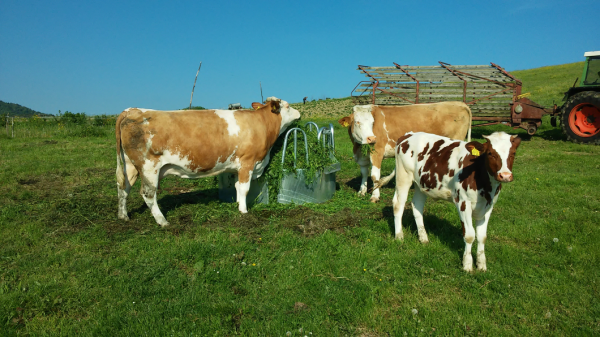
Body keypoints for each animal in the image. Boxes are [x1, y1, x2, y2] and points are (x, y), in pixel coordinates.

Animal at [115, 96, 300, 226]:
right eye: (287, 106)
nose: (299, 113)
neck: (260, 124)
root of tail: (132, 110)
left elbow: (237, 187)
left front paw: (237, 204)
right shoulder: (247, 162)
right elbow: (244, 188)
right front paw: (244, 211)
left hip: (130, 165)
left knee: (123, 188)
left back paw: (123, 216)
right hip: (148, 167)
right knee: (148, 193)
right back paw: (162, 221)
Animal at [340, 101, 472, 202]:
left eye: (372, 123)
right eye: (357, 122)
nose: (372, 138)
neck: (358, 147)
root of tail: (459, 103)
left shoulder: (377, 151)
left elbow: (374, 175)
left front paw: (375, 196)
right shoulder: (361, 155)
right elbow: (364, 173)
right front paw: (361, 191)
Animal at [392, 131, 524, 270]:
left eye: (513, 153)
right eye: (490, 153)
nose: (505, 176)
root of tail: (408, 134)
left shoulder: (489, 206)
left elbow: (482, 236)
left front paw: (481, 265)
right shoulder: (463, 202)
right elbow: (470, 235)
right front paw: (467, 264)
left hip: (422, 184)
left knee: (417, 206)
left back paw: (423, 238)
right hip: (403, 176)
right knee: (398, 205)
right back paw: (399, 236)